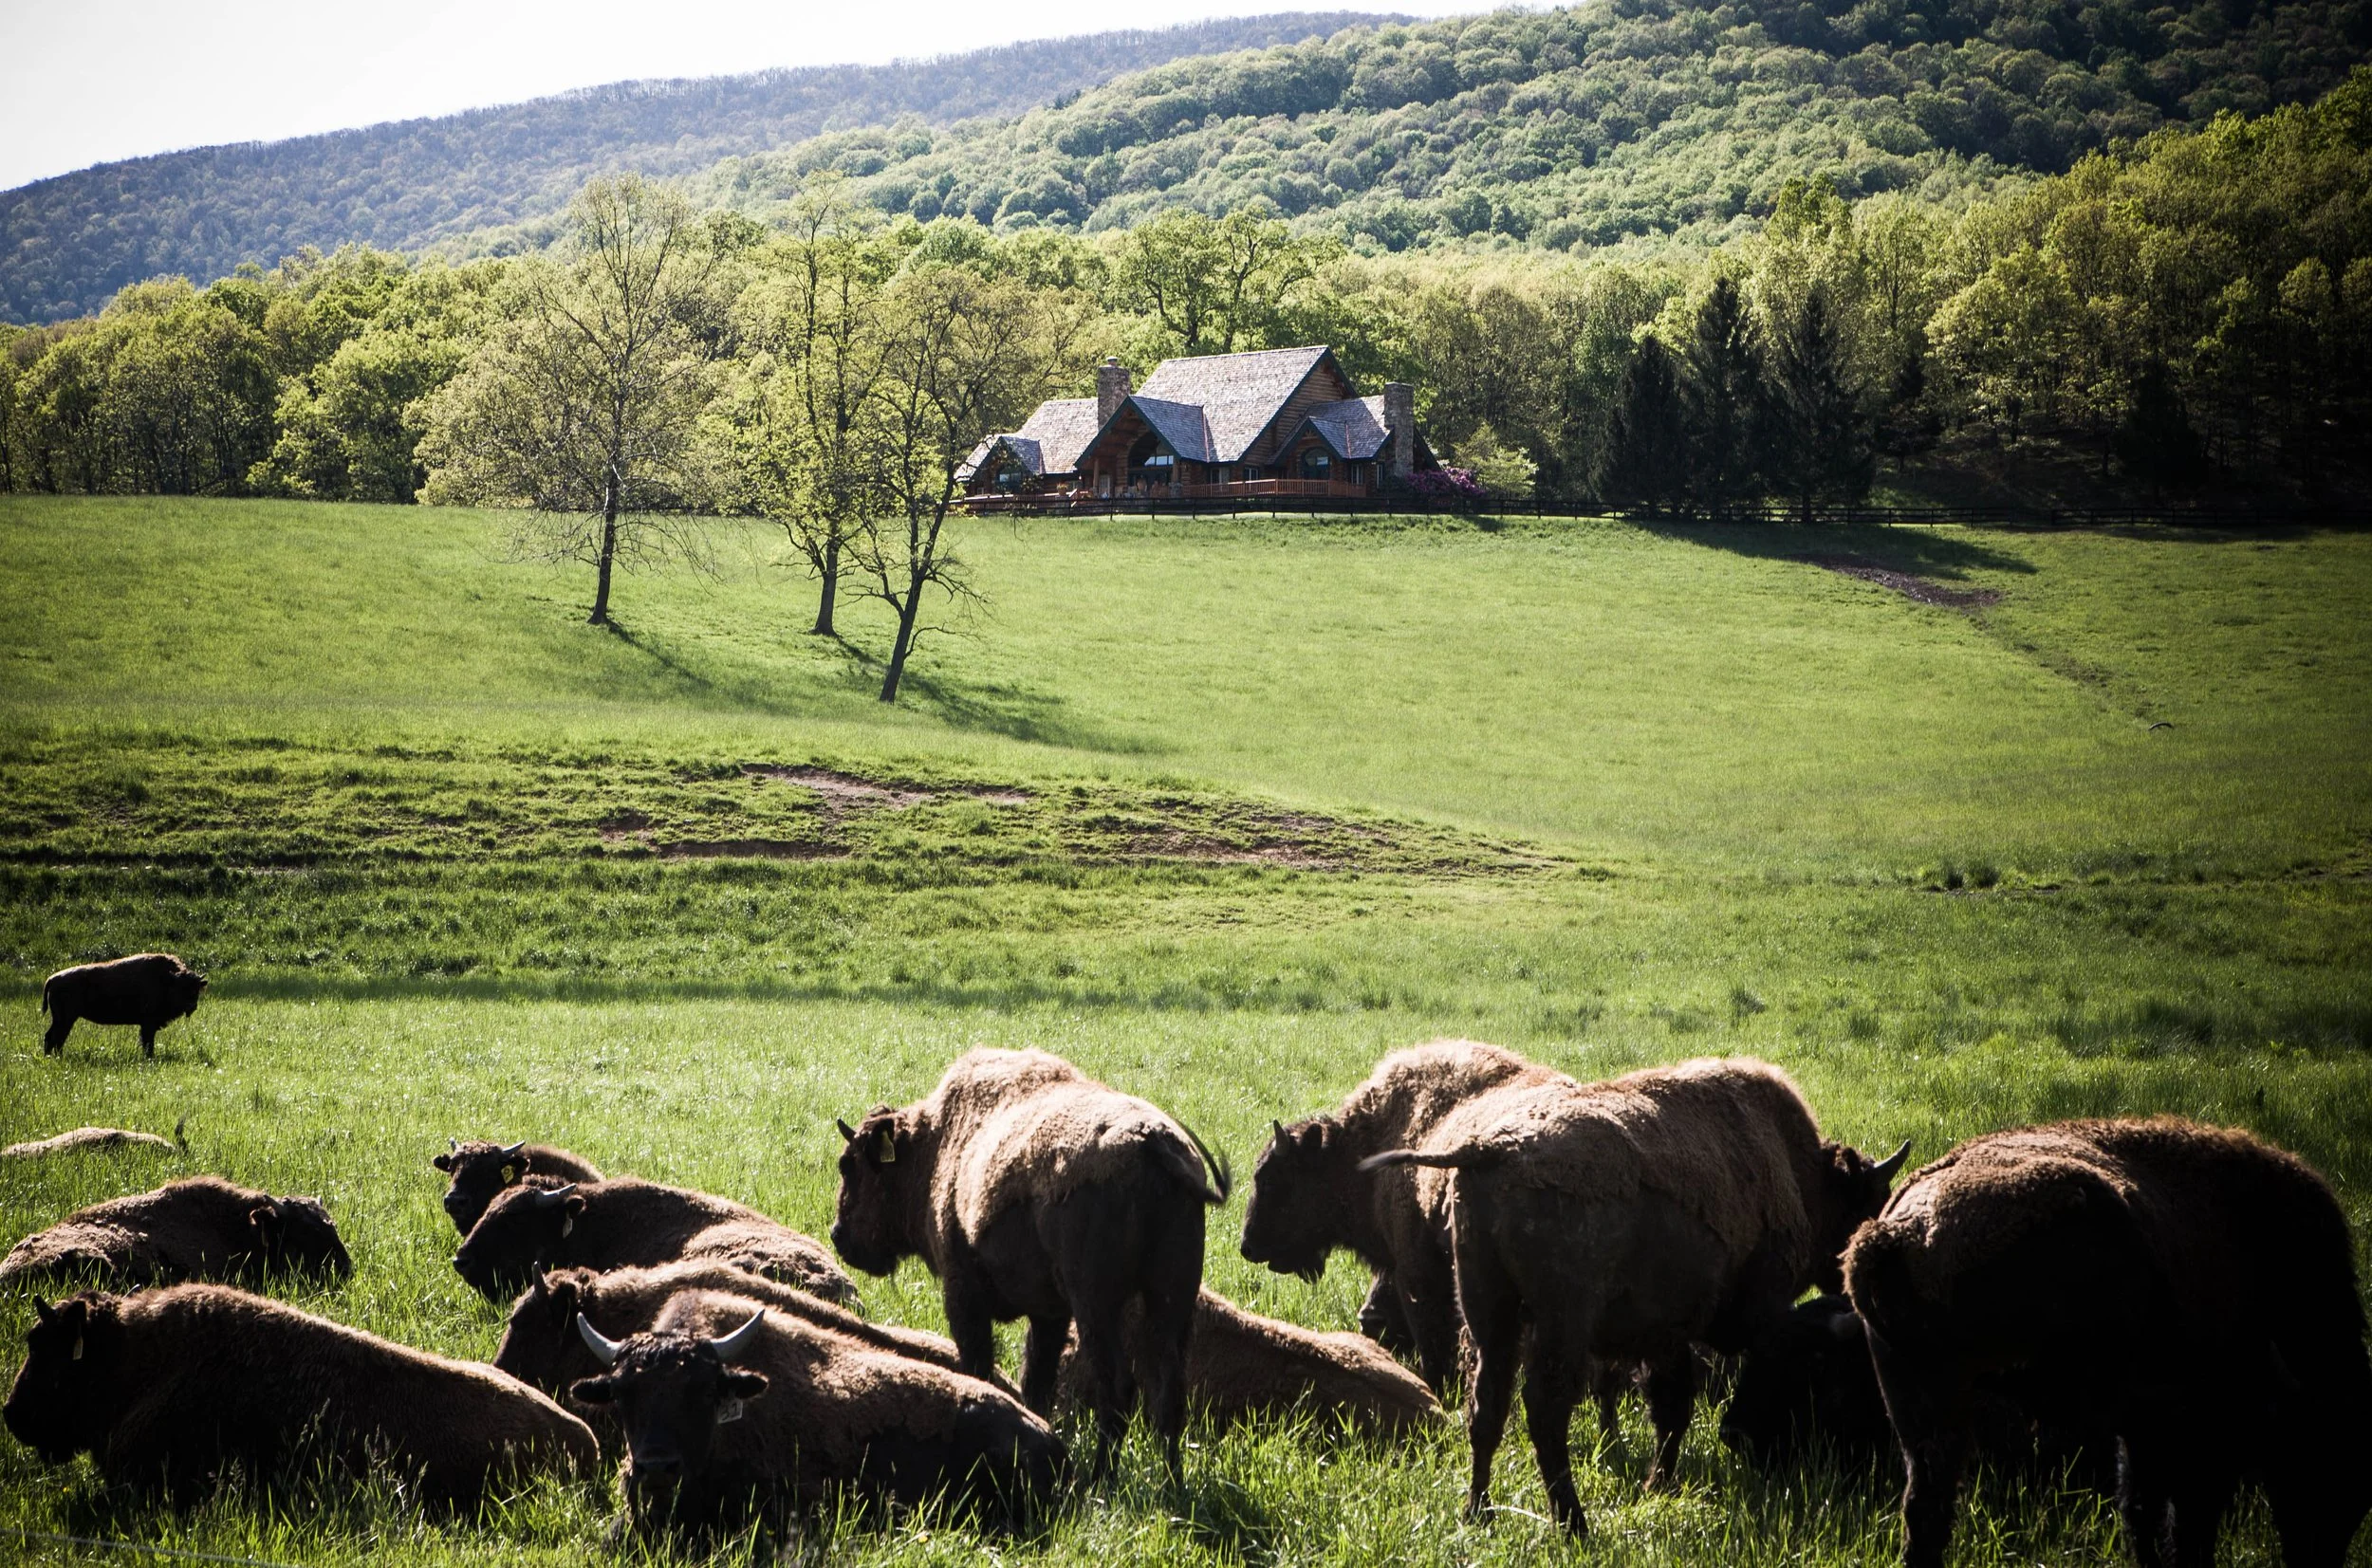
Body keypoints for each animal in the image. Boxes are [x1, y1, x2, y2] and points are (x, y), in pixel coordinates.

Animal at [40, 953, 206, 1057]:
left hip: (64, 1020)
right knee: (54, 1037)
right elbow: (147, 1042)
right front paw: (149, 1057)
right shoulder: (148, 1024)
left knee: (55, 1038)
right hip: (65, 1019)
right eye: (181, 988)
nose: (192, 1005)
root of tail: (52, 978)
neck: (166, 980)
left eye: (196, 988)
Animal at [831, 1047, 1230, 1478]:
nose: (838, 1235)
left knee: (1118, 1388)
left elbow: (982, 1366)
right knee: (1168, 1390)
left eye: (851, 1167)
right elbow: (1037, 1380)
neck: (936, 1143)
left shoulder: (964, 1294)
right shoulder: (1049, 1314)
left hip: (1096, 1305)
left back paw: (1101, 1479)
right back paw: (1172, 1480)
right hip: (1172, 1298)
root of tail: (1152, 1145)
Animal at [1366, 1055, 1906, 1535]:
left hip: (1489, 1314)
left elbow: (1671, 1408)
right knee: (1545, 1410)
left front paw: (1658, 1485)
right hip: (1561, 1321)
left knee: (1487, 1407)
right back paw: (1574, 1525)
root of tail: (1486, 1151)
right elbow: (1682, 1405)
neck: (1798, 1174)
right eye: (1866, 1203)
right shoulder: (1752, 1317)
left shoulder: (1666, 1335)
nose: (1855, 1281)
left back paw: (1479, 1514)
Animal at [1845, 1118, 2372, 1568]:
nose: (2319, 1555)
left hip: (1924, 1407)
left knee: (1926, 1513)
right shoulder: (2195, 1433)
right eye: (2326, 1457)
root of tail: (1895, 1234)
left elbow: (2142, 1511)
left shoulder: (2144, 1429)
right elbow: (2182, 1524)